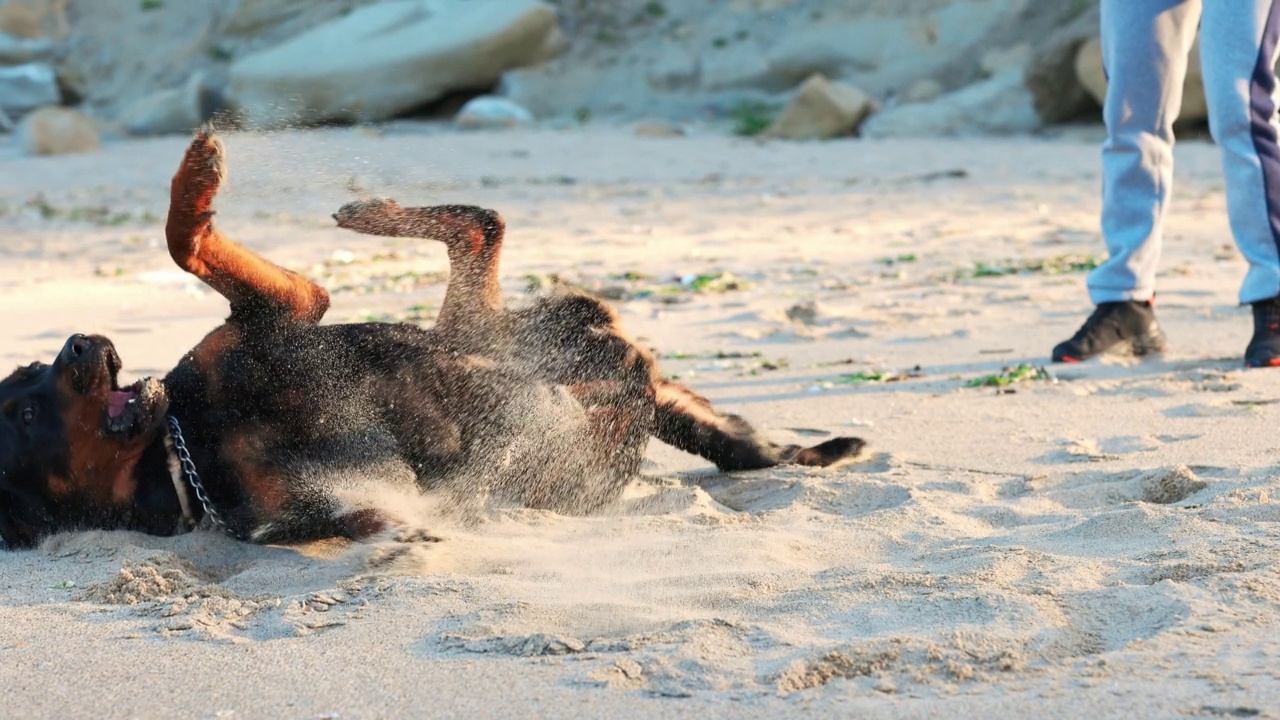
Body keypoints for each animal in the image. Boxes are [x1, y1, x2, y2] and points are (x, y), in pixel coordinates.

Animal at [0, 130, 865, 543]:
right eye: (25, 411)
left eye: (32, 368)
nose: (76, 340)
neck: (188, 442)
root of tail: (636, 373)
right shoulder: (320, 504)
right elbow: (378, 514)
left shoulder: (278, 312)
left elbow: (185, 239)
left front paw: (199, 171)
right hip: (501, 338)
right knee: (488, 232)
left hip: (475, 329)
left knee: (482, 223)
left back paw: (372, 211)